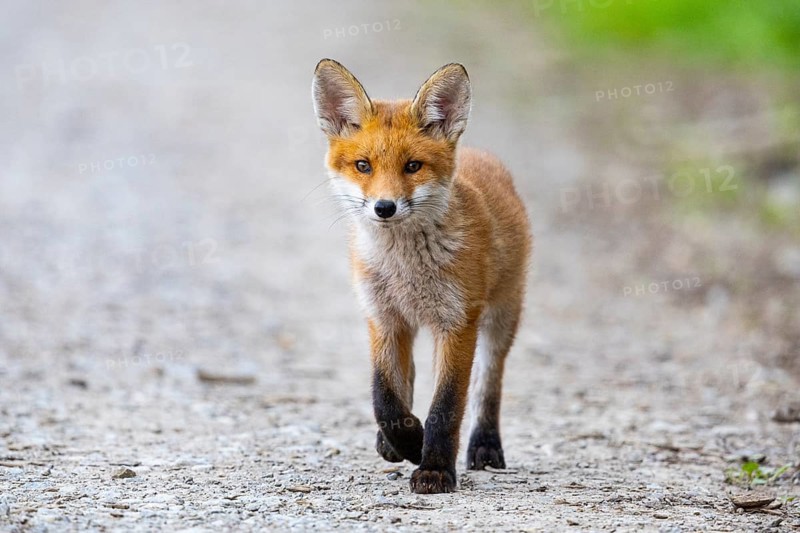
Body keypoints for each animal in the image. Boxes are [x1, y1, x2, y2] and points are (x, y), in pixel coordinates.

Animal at [311, 59, 532, 494]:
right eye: (363, 166)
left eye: (412, 166)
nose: (384, 207)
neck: (404, 271)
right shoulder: (382, 317)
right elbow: (384, 397)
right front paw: (407, 440)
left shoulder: (457, 322)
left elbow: (446, 407)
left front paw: (434, 468)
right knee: (408, 377)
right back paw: (391, 443)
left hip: (501, 317)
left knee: (488, 384)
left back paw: (485, 445)